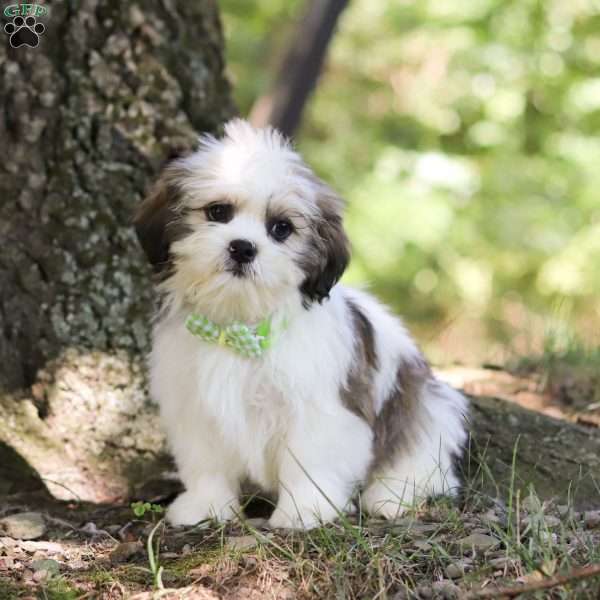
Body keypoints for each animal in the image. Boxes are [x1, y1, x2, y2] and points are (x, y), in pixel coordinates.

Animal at [135, 118, 468, 528]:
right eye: (217, 211)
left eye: (281, 228)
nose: (242, 247)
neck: (240, 324)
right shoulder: (194, 407)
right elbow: (207, 463)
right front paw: (205, 506)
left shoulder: (318, 411)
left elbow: (309, 461)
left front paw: (303, 511)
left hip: (427, 407)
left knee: (421, 458)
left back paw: (393, 495)